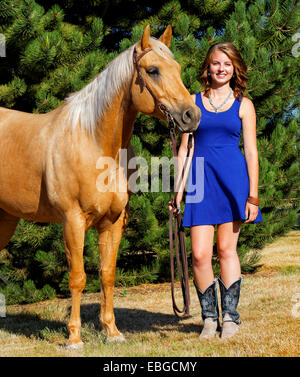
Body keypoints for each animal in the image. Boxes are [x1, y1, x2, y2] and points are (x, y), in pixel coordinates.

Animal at [0, 25, 202, 348]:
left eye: (178, 69)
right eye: (153, 70)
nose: (191, 116)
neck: (93, 141)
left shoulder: (113, 222)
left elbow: (107, 274)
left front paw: (112, 331)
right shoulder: (73, 220)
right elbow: (78, 277)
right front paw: (74, 338)